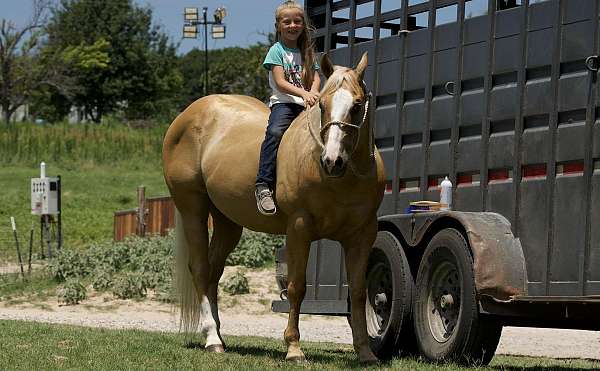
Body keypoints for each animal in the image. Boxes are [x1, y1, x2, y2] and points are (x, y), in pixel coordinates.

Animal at [162, 52, 384, 364]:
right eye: (323, 105)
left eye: (356, 105)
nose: (332, 161)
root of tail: (187, 116)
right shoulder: (299, 229)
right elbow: (296, 287)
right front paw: (294, 349)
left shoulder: (362, 235)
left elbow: (360, 292)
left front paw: (365, 352)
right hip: (192, 208)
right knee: (201, 269)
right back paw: (211, 338)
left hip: (227, 222)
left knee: (215, 271)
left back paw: (219, 335)